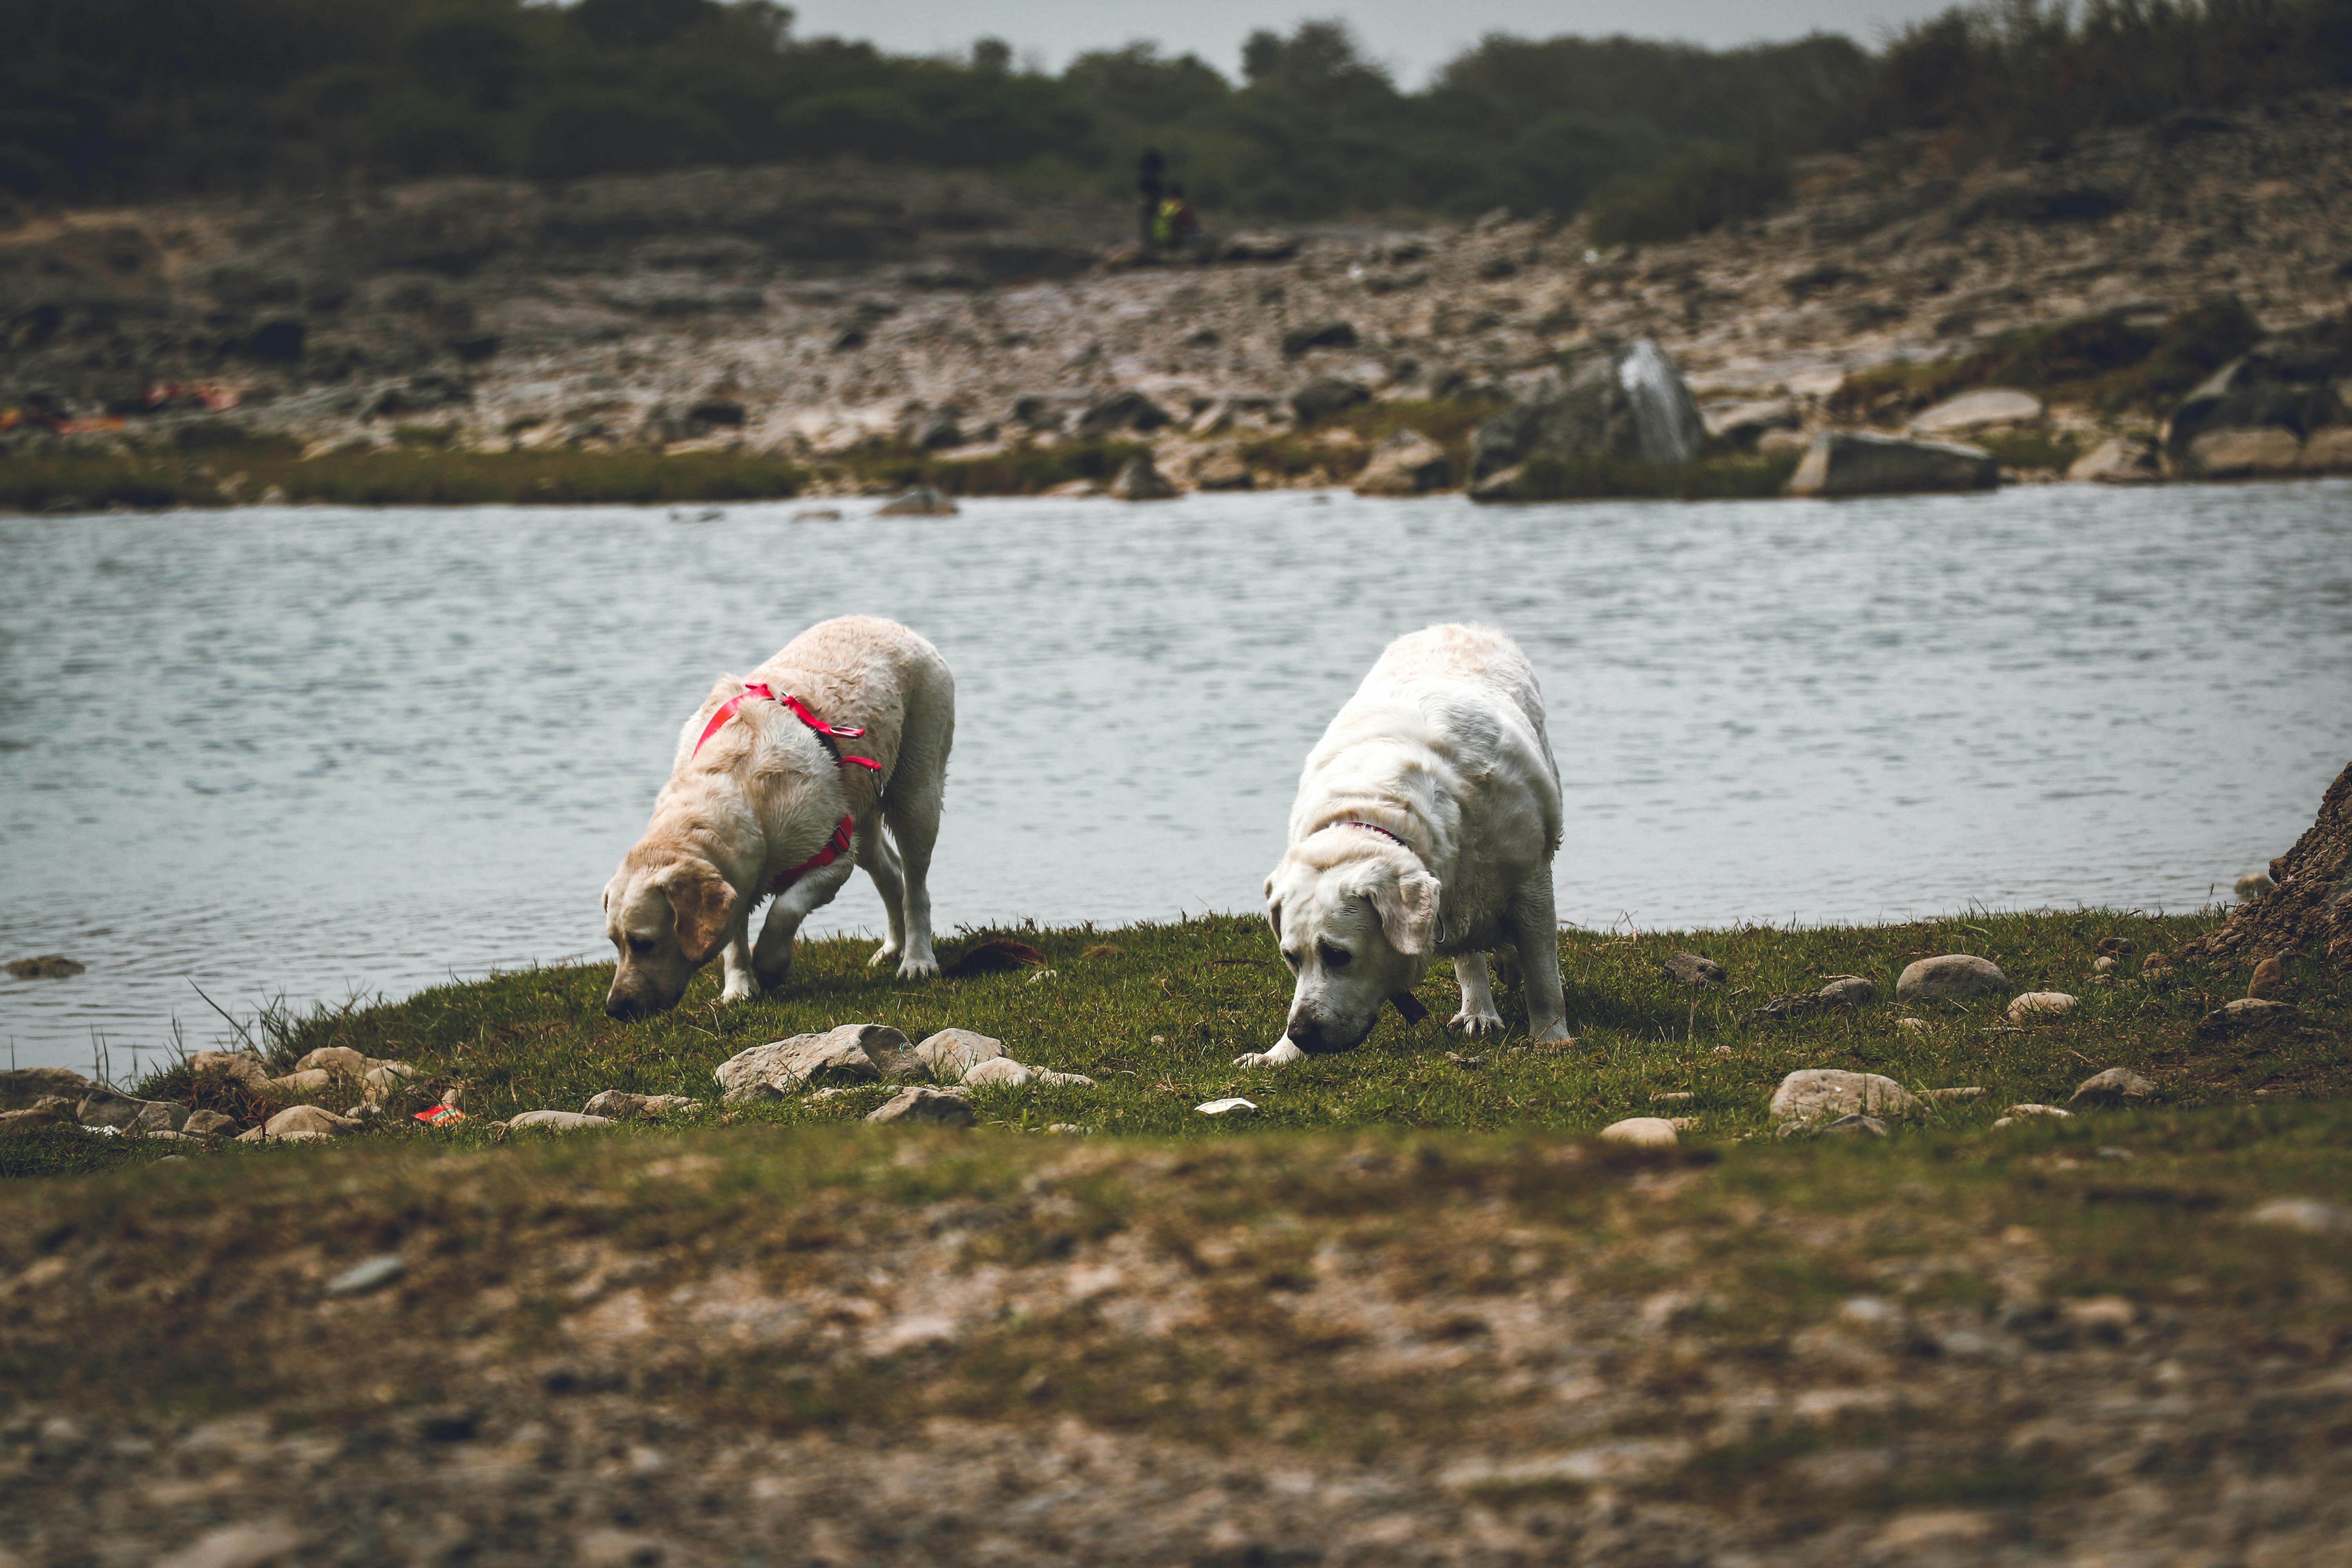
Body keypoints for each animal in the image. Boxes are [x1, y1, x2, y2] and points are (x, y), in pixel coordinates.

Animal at [607, 611, 955, 1020]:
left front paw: (770, 964)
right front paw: (739, 988)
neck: (740, 788)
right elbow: (733, 934)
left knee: (916, 885)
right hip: (859, 804)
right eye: (614, 942)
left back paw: (917, 960)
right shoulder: (737, 874)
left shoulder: (833, 854)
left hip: (917, 790)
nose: (615, 1008)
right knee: (890, 871)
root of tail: (892, 624)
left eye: (642, 943)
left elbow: (785, 909)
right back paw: (892, 948)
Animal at [1242, 625, 1571, 1067]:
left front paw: (1551, 1038)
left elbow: (1542, 973)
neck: (1377, 812)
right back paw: (1479, 1010)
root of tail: (1458, 626)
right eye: (1291, 958)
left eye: (1338, 955)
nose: (1301, 1033)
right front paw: (1277, 1053)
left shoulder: (1530, 878)